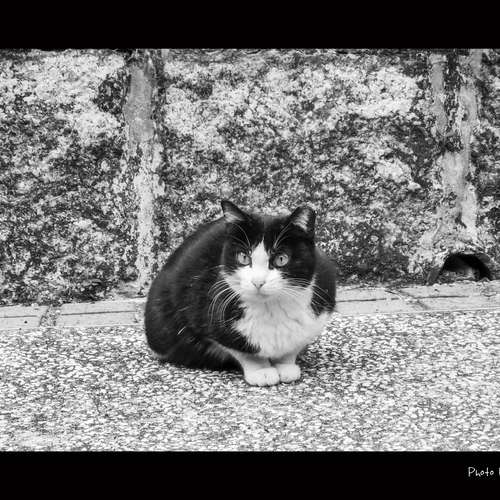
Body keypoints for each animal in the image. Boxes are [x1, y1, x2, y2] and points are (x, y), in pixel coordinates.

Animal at [144, 200, 336, 386]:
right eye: (243, 257)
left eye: (281, 259)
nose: (258, 281)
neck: (270, 309)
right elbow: (241, 350)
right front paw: (261, 370)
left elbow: (293, 346)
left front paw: (285, 365)